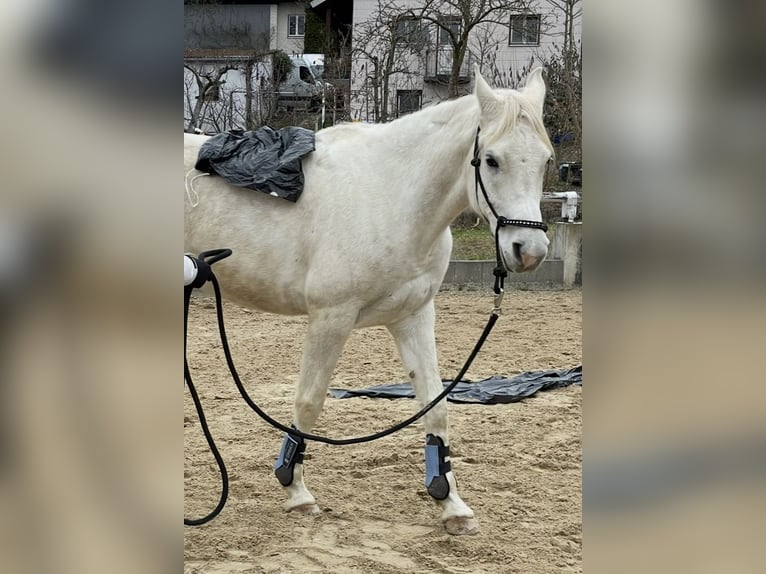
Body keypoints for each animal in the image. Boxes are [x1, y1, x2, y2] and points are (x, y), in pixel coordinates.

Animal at [184, 66, 553, 535]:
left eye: (545, 160)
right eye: (491, 160)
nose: (530, 251)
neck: (391, 196)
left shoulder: (414, 316)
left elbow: (435, 406)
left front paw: (451, 503)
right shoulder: (331, 318)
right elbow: (309, 401)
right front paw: (295, 490)